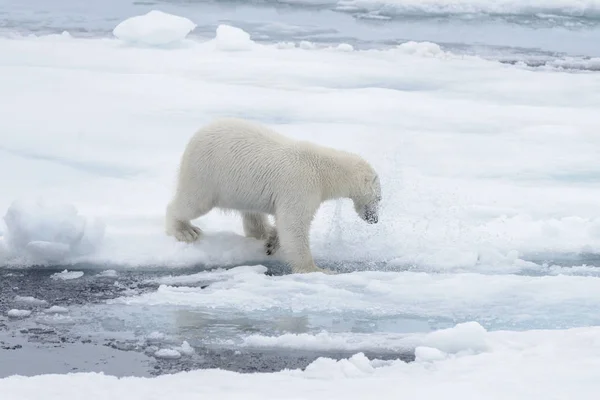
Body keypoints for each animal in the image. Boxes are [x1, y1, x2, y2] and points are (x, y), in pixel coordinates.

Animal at [165, 117, 380, 274]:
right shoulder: (302, 186)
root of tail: (195, 137)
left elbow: (284, 222)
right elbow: (294, 225)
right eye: (378, 199)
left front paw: (272, 242)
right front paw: (317, 269)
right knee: (192, 202)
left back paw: (264, 233)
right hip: (207, 174)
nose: (375, 219)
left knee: (251, 213)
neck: (324, 171)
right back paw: (185, 230)